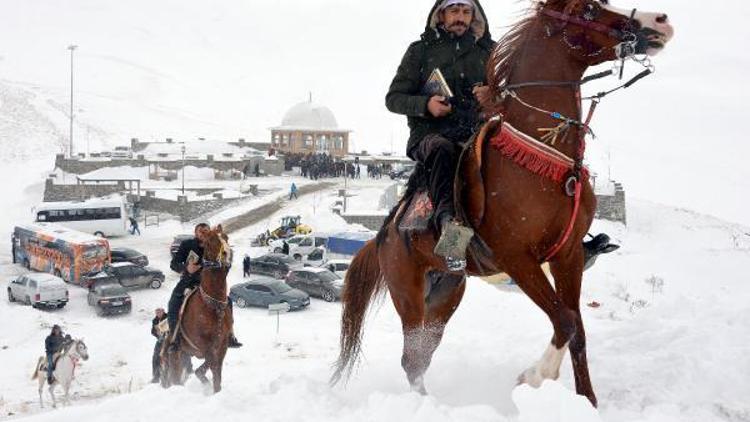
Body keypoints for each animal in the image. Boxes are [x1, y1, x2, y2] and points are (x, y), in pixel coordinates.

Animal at [163, 226, 234, 394]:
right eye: (210, 240)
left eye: (226, 237)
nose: (227, 253)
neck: (212, 306)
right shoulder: (204, 346)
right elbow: (210, 366)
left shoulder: (222, 345)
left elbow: (216, 370)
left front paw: (216, 390)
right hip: (175, 354)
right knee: (174, 376)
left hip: (184, 354)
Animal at [334, 0, 676, 408]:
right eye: (589, 11)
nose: (659, 21)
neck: (544, 160)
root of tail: (382, 236)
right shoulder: (518, 258)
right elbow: (564, 320)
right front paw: (534, 376)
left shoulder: (567, 257)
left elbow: (576, 328)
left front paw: (588, 401)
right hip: (408, 292)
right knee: (412, 357)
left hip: (447, 292)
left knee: (421, 355)